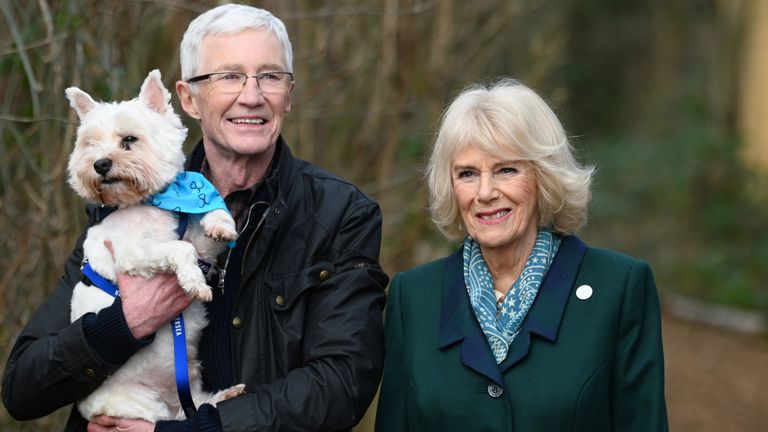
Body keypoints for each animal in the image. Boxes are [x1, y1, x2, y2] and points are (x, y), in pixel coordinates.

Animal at [67, 69, 246, 420]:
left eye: (129, 140)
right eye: (90, 144)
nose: (100, 164)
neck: (150, 201)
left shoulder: (201, 241)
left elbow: (212, 215)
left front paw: (221, 225)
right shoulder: (133, 254)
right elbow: (180, 249)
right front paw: (194, 283)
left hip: (189, 392)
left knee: (200, 404)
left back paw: (227, 394)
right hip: (142, 405)